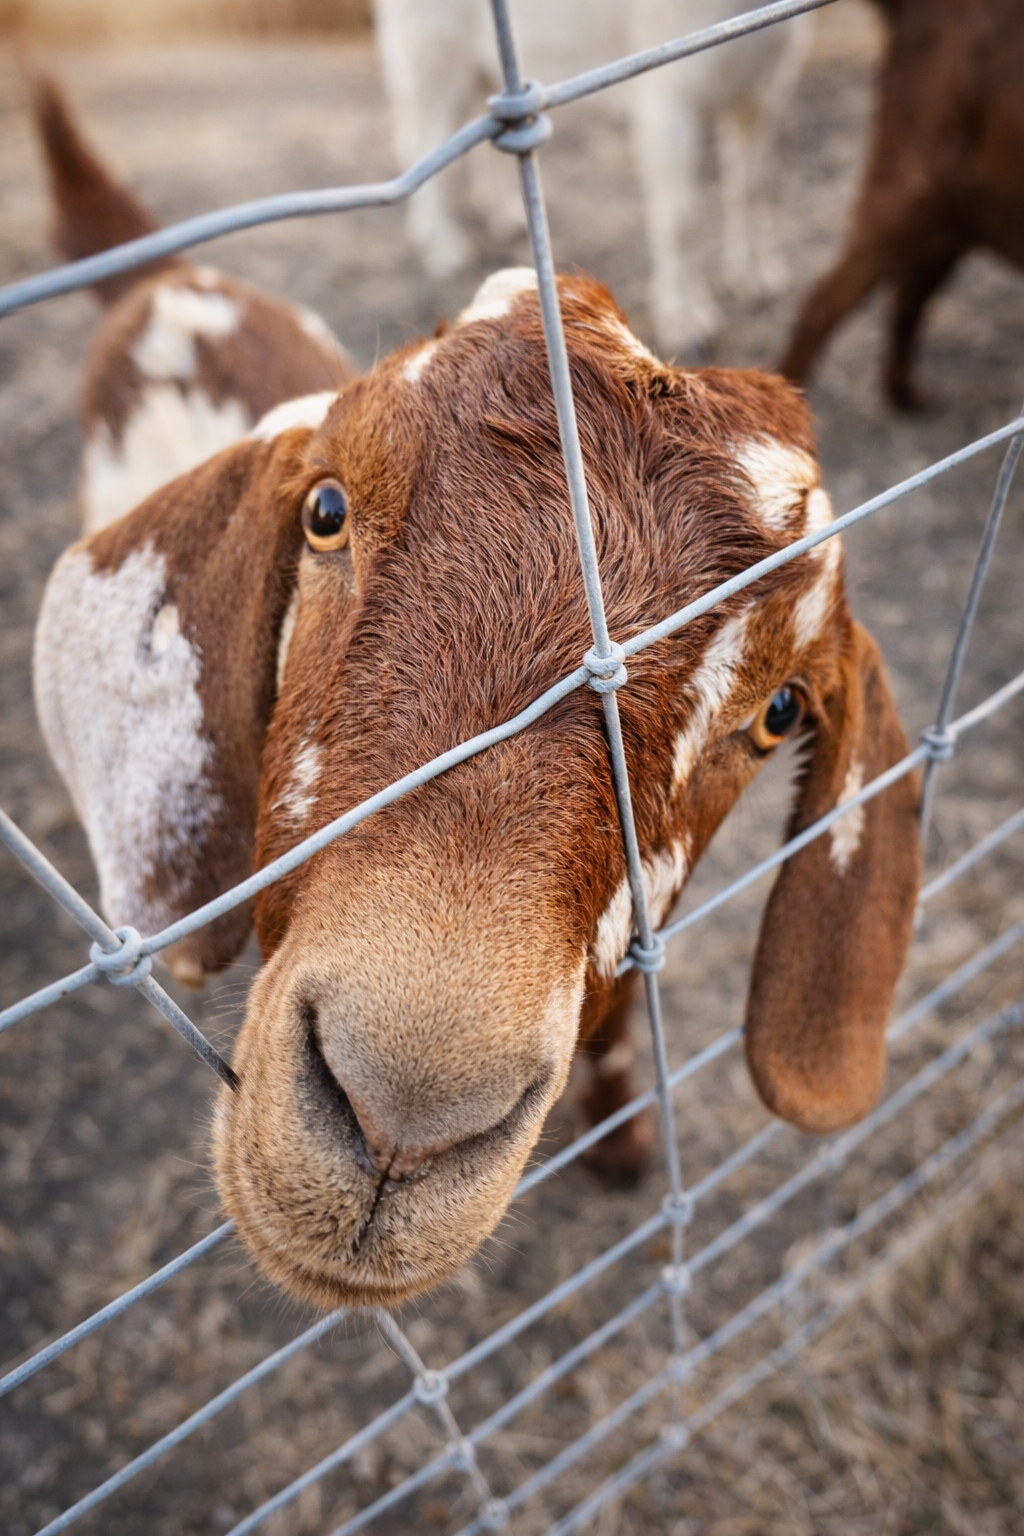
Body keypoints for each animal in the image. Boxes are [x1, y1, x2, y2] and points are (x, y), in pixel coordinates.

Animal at [374, 0, 811, 357]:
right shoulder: (667, 105)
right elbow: (680, 219)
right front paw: (684, 320)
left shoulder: (764, 91)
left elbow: (749, 188)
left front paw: (754, 274)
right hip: (434, 63)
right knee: (422, 145)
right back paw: (441, 245)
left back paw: (505, 216)